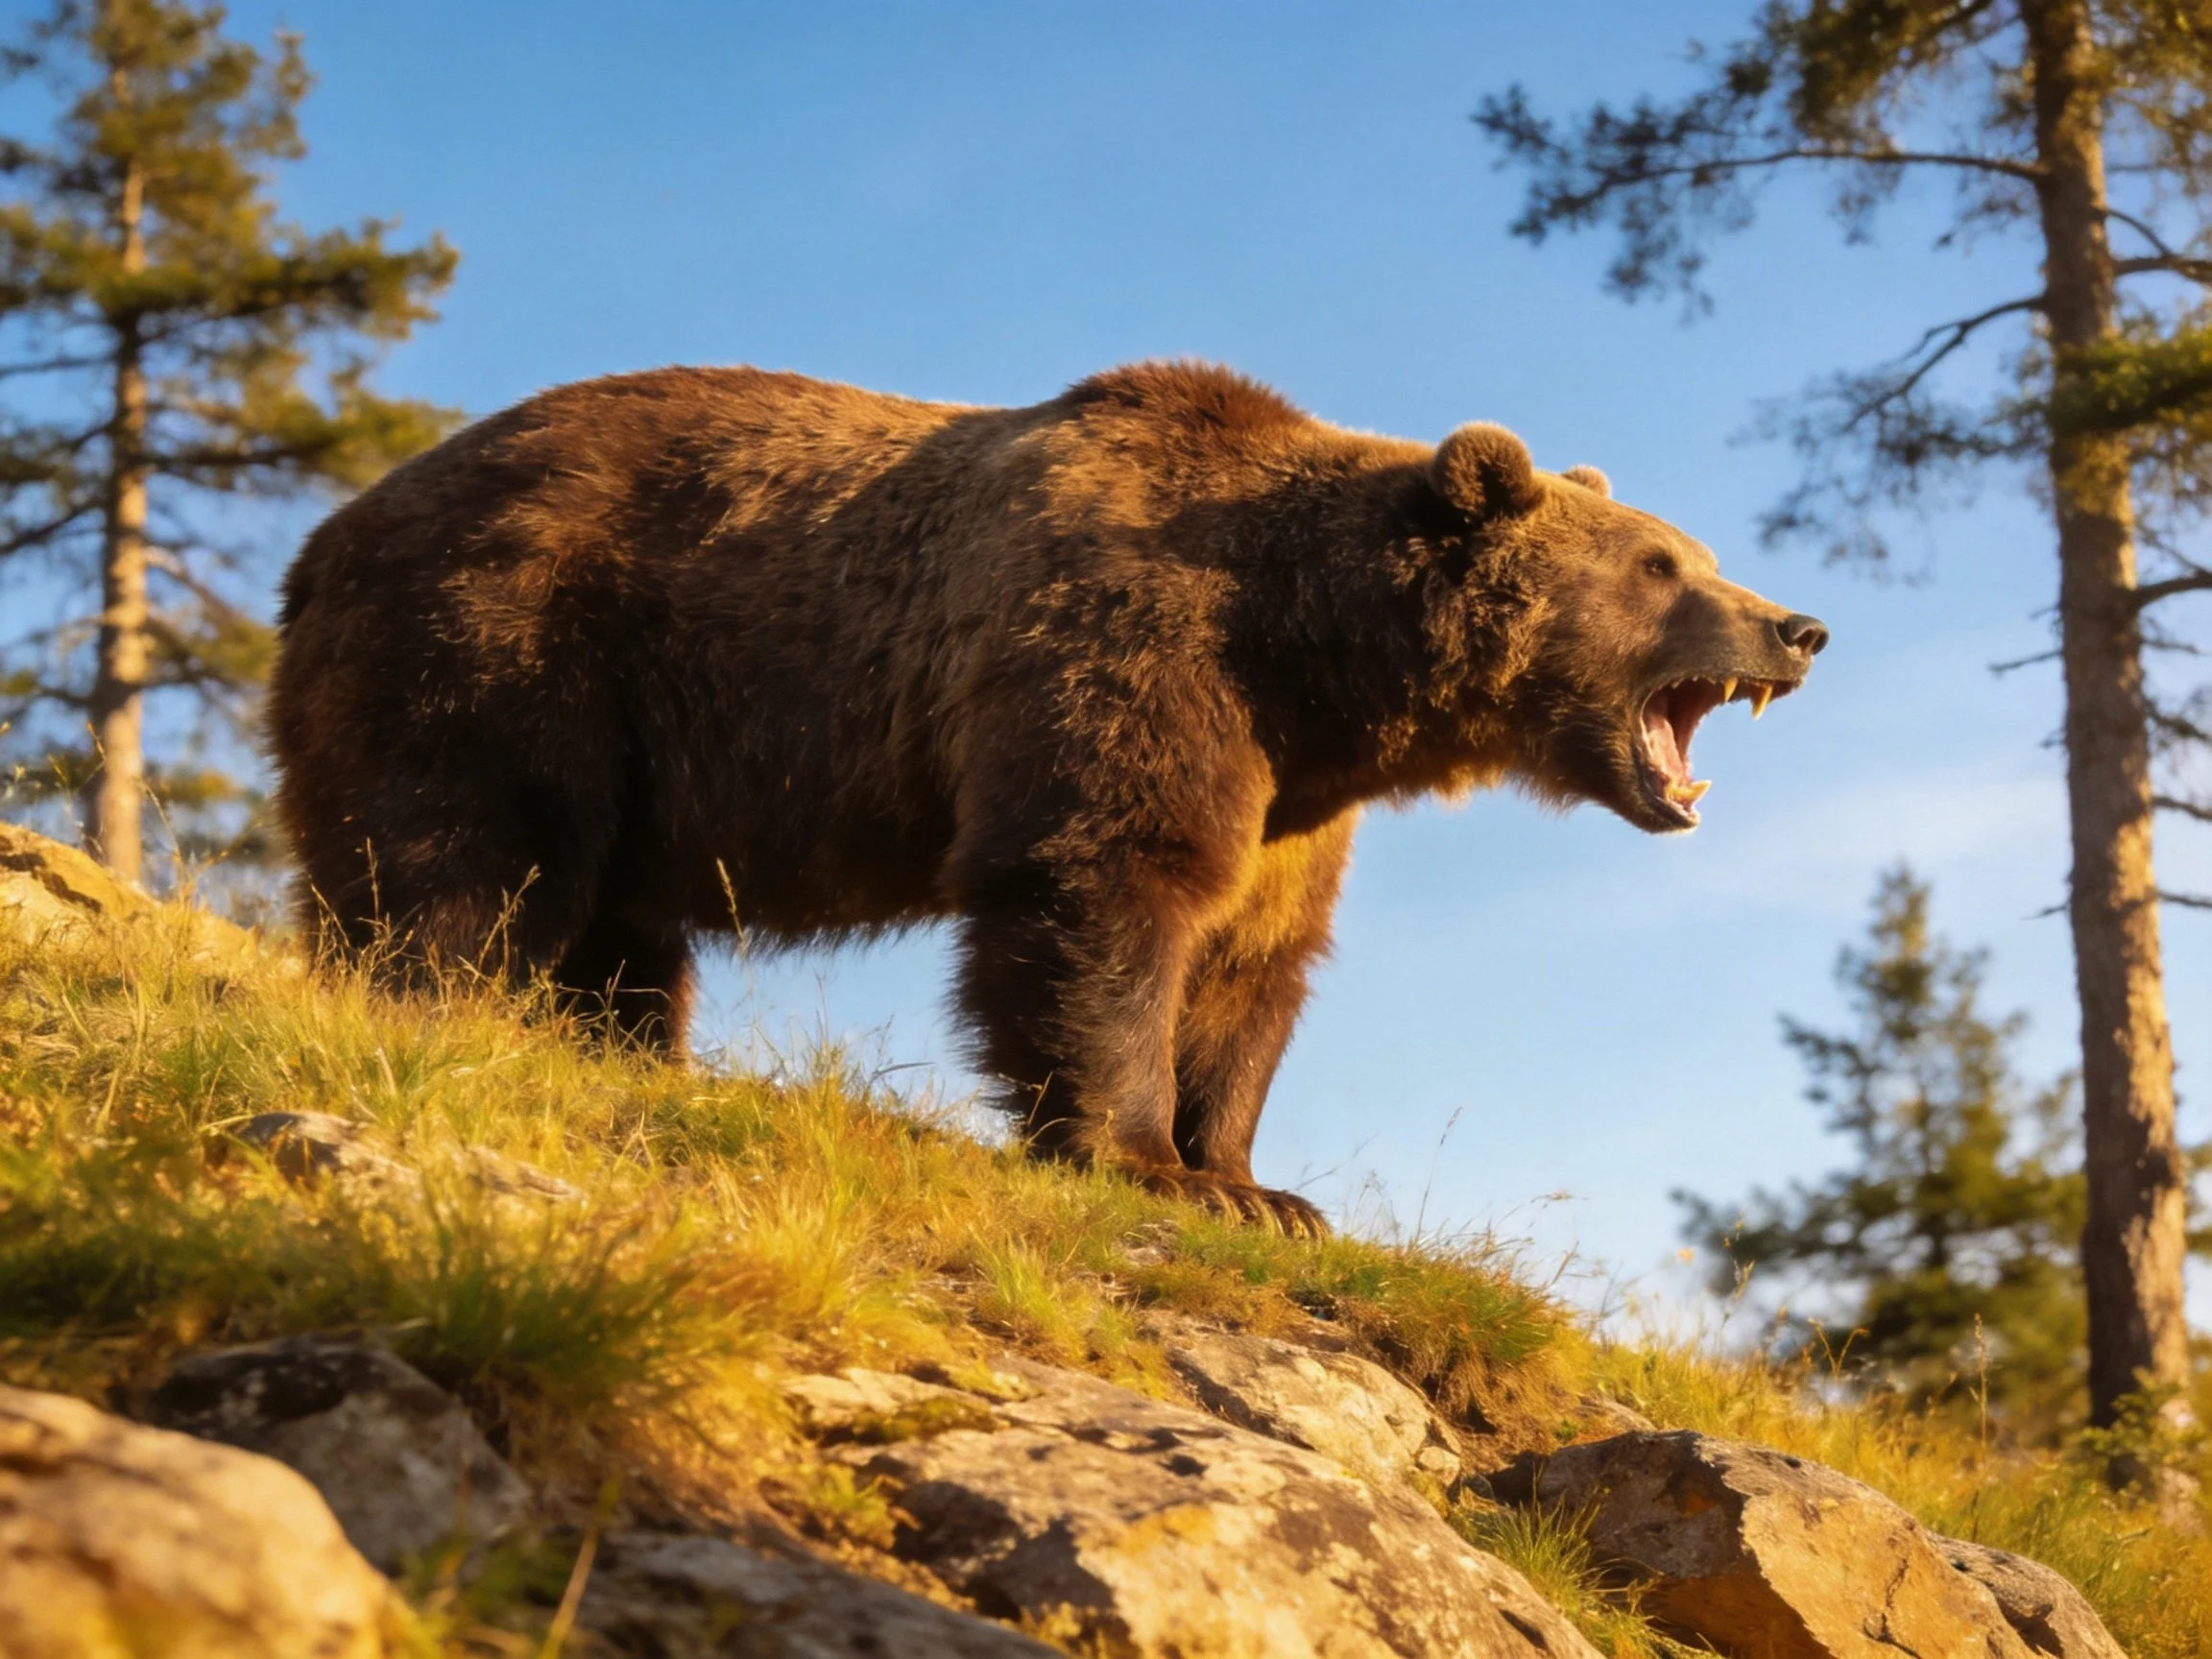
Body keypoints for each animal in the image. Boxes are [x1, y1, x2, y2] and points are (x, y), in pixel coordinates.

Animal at [269, 361, 1827, 1235]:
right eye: (1662, 564)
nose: (1799, 626)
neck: (1309, 654)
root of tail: (328, 533)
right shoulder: (1131, 648)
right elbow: (1108, 888)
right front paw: (1146, 1160)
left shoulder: (1292, 802)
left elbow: (1251, 968)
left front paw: (1258, 1182)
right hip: (515, 638)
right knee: (472, 857)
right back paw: (458, 1003)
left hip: (639, 746)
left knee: (618, 928)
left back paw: (626, 1049)